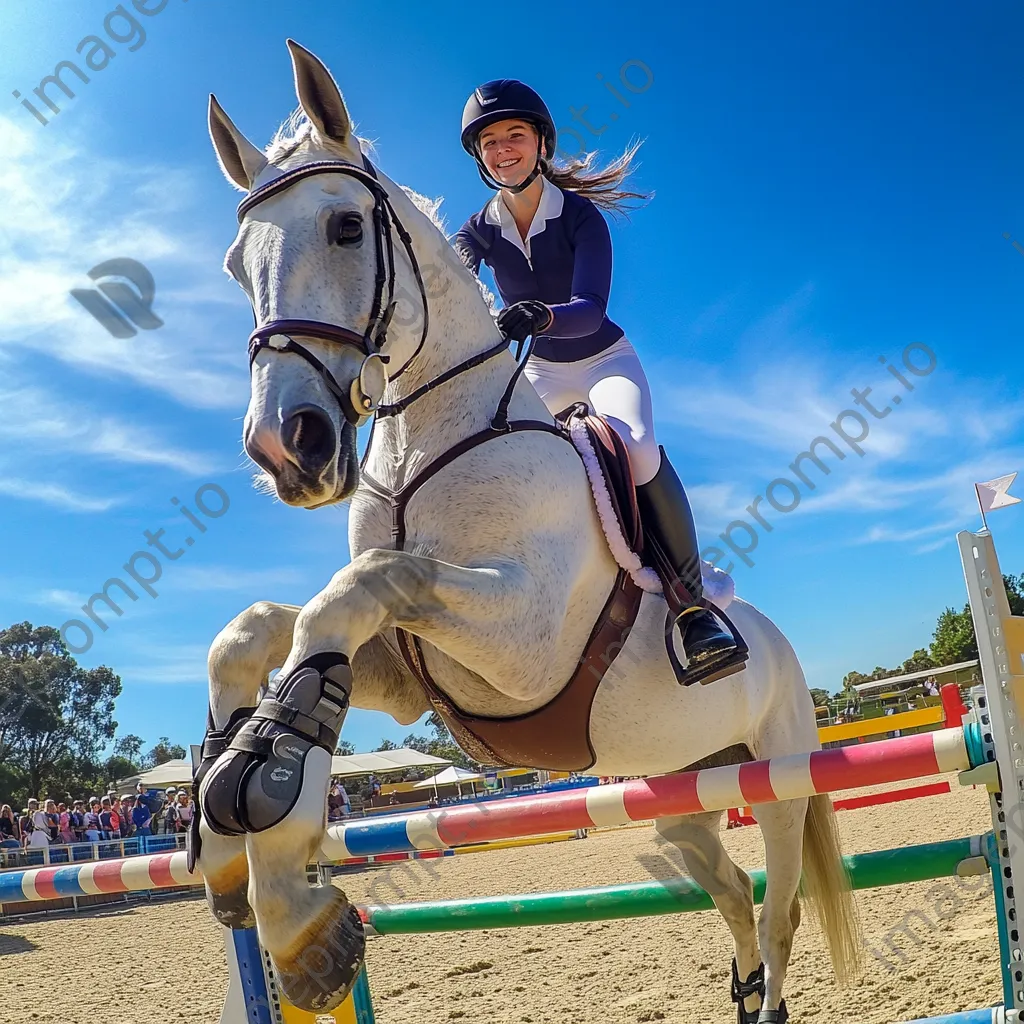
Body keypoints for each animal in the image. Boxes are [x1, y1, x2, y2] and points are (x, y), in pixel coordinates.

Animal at [192, 41, 856, 1024]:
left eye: (347, 228)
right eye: (237, 265)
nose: (286, 447)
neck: (428, 440)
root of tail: (778, 641)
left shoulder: (521, 645)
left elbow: (358, 587)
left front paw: (283, 867)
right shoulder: (414, 676)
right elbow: (260, 629)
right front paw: (230, 830)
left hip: (777, 778)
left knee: (778, 911)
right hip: (678, 796)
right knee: (734, 895)